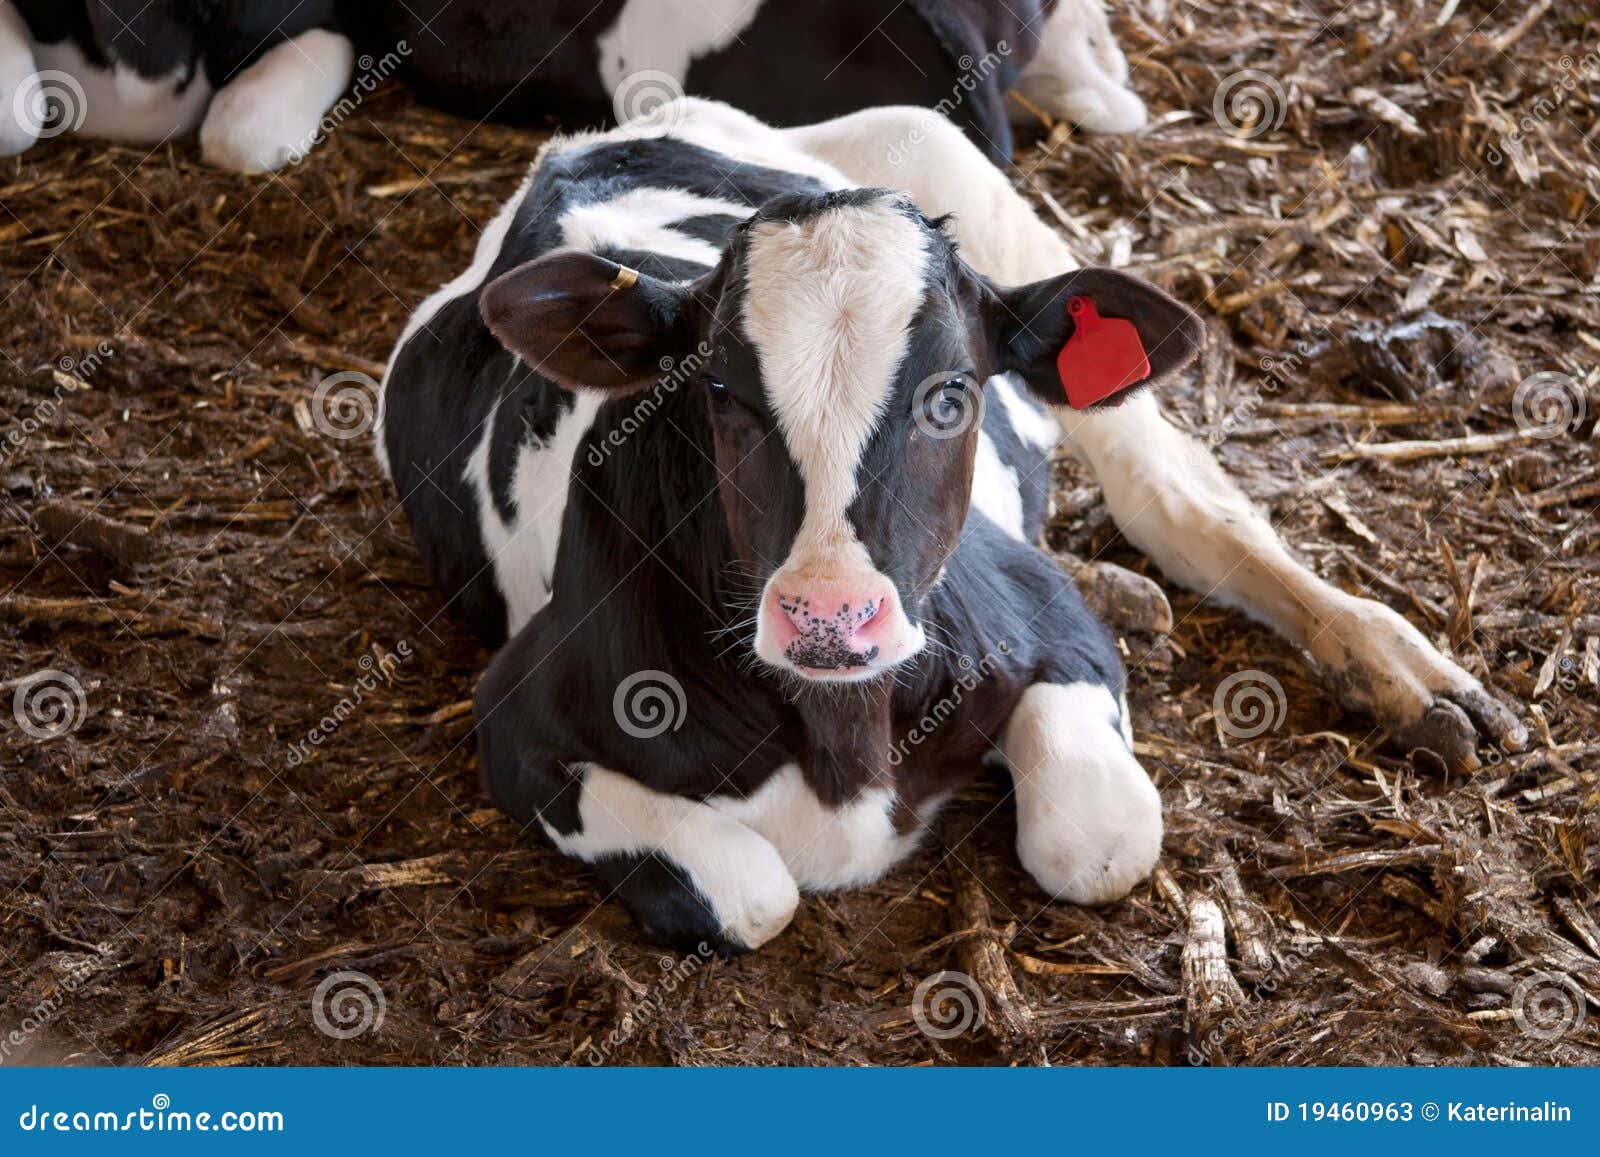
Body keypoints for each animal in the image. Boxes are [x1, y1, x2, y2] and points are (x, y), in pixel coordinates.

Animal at [375, 99, 1527, 952]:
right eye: (721, 395)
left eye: (950, 396)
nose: (830, 618)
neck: (842, 741)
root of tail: (594, 140)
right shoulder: (516, 722)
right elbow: (753, 891)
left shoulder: (1048, 627)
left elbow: (1099, 839)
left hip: (957, 169)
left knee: (1181, 504)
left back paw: (1410, 675)